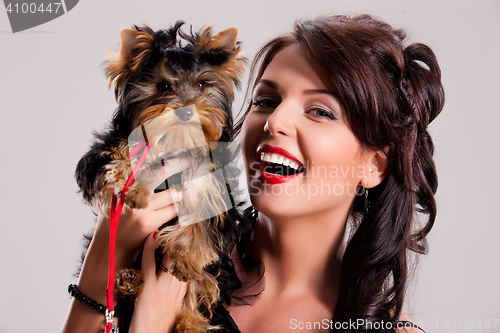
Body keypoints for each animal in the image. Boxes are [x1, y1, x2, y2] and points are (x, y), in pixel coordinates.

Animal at [75, 22, 246, 330]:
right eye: (163, 86)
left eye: (202, 84)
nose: (186, 111)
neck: (177, 143)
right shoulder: (99, 156)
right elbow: (117, 159)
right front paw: (128, 180)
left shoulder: (213, 182)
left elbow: (203, 218)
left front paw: (187, 257)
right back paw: (130, 281)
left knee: (204, 288)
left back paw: (190, 323)